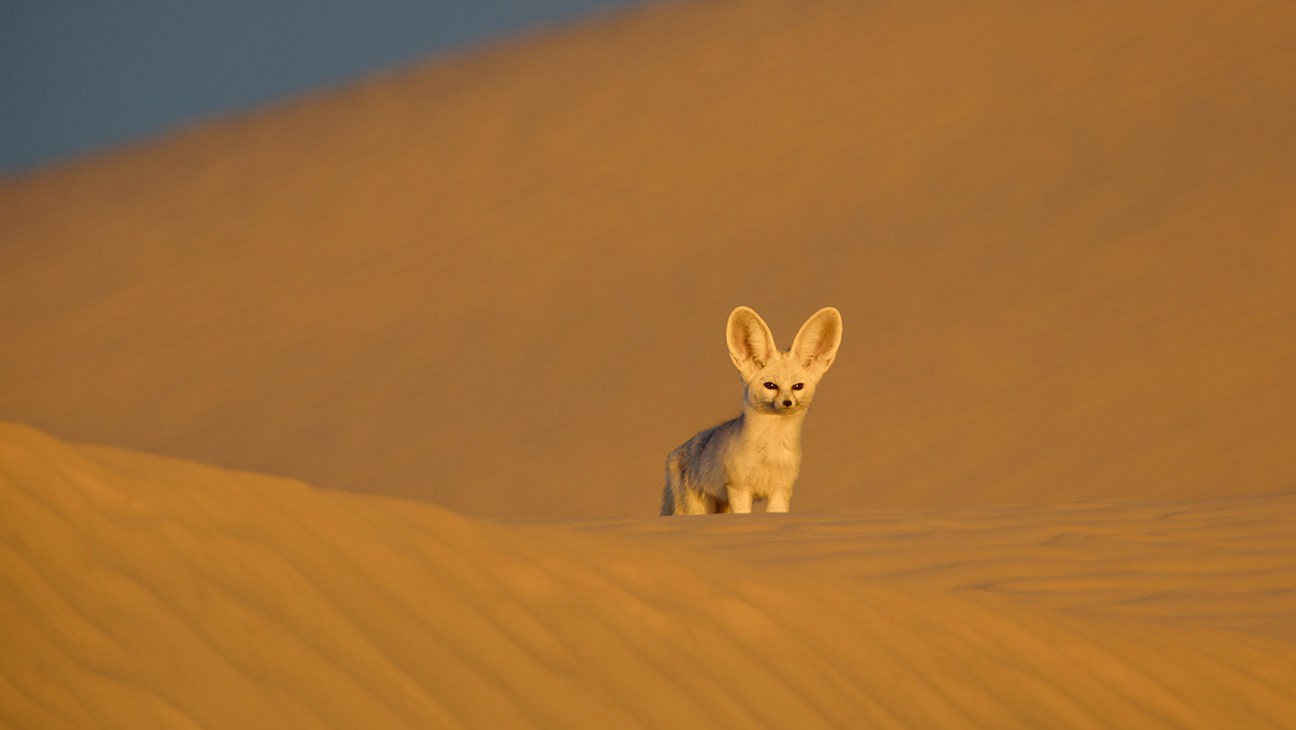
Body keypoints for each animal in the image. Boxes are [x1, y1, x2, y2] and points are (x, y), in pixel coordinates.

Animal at [661, 306, 843, 515]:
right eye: (771, 385)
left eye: (797, 387)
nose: (787, 402)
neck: (771, 450)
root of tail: (673, 453)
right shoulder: (739, 489)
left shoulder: (780, 491)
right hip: (697, 508)